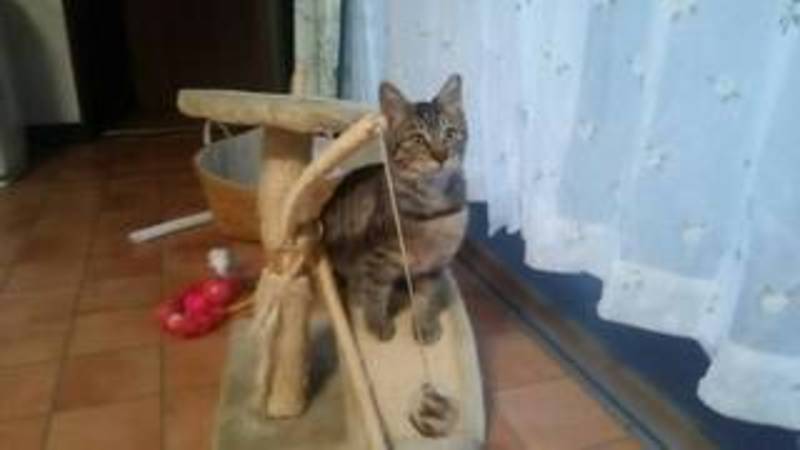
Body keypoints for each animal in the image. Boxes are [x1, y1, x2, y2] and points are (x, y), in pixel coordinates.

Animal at [322, 74, 468, 345]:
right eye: (418, 140)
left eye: (450, 134)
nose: (441, 156)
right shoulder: (376, 258)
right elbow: (376, 294)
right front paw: (378, 324)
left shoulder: (433, 267)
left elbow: (425, 300)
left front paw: (424, 325)